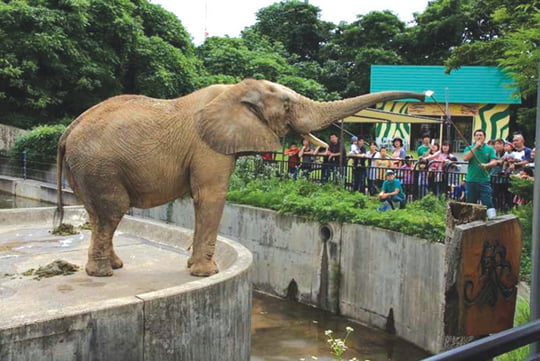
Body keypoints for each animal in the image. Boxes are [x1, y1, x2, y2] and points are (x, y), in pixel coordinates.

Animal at [56, 79, 426, 276]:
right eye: (288, 105)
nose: (426, 95)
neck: (235, 90)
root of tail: (67, 131)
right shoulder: (208, 146)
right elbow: (210, 196)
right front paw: (206, 274)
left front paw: (196, 268)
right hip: (99, 165)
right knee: (112, 211)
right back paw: (103, 273)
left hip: (86, 169)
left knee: (97, 214)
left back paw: (114, 266)